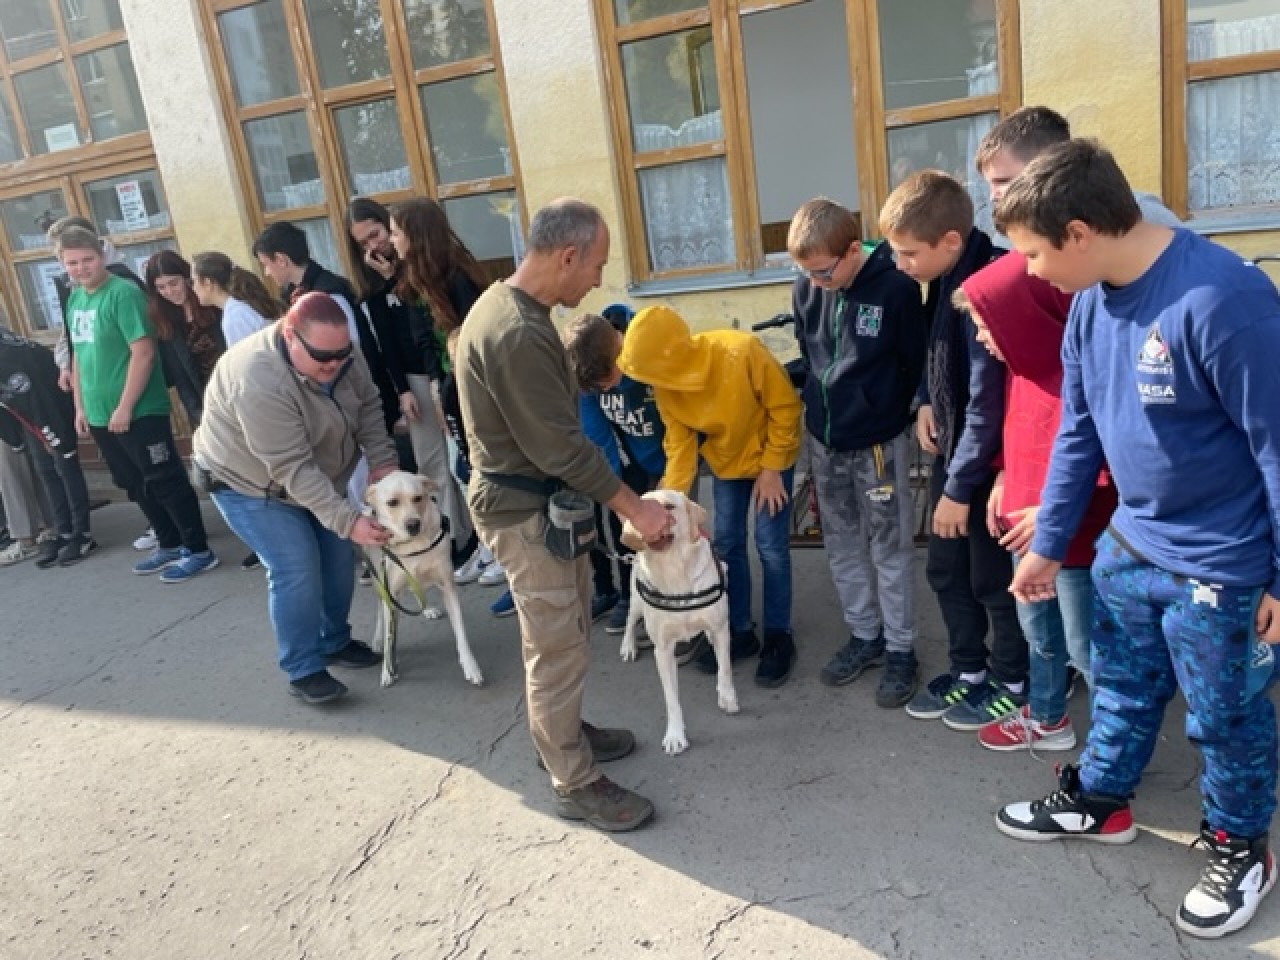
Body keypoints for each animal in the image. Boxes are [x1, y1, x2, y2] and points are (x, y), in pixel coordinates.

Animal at [364, 470, 483, 688]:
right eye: (392, 502)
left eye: (418, 498)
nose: (413, 525)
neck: (413, 546)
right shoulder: (390, 591)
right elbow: (389, 636)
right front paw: (387, 668)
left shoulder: (447, 586)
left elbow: (461, 634)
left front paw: (471, 666)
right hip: (379, 582)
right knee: (381, 611)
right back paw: (377, 639)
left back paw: (427, 609)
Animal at [620, 489, 738, 755]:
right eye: (640, 507)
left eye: (669, 507)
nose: (645, 526)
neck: (674, 571)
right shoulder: (663, 650)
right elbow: (671, 699)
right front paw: (675, 735)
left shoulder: (721, 628)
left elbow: (724, 668)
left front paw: (727, 697)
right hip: (636, 600)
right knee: (630, 619)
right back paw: (628, 646)